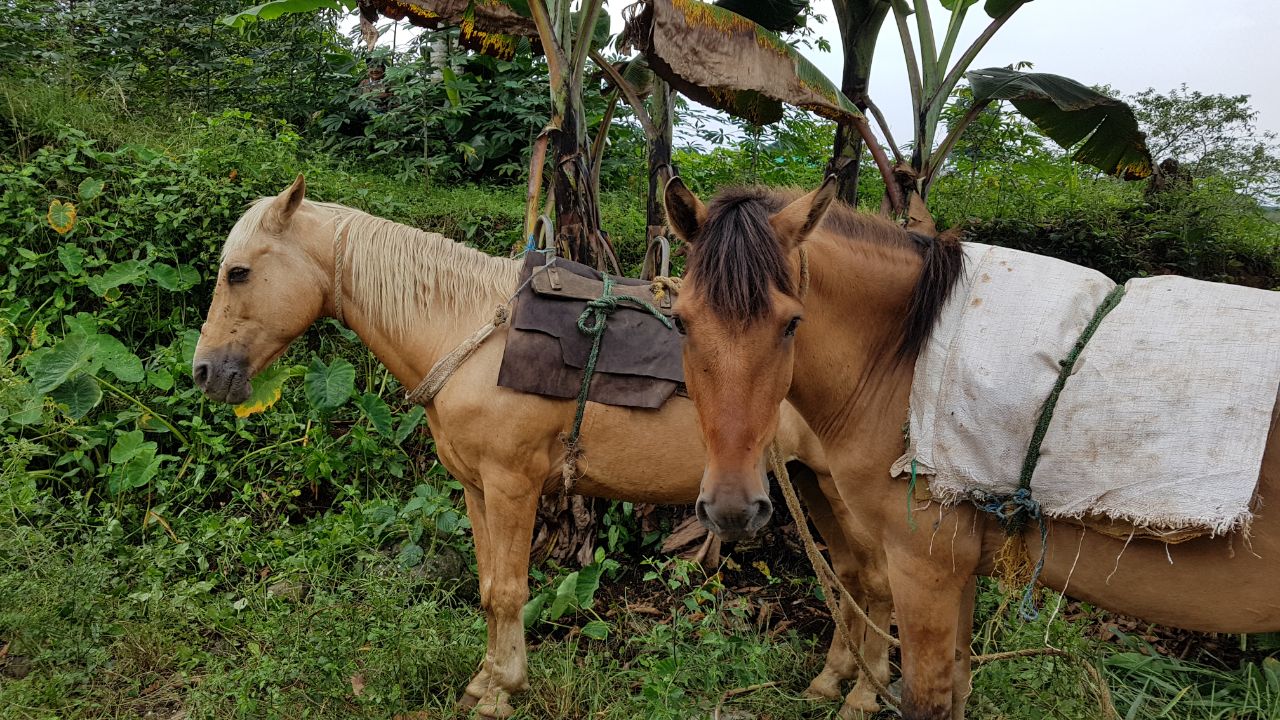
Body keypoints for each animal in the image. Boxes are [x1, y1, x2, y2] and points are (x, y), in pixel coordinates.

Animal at [189, 175, 896, 717]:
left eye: (238, 272)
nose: (204, 372)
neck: (468, 328)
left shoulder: (513, 484)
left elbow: (509, 590)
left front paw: (502, 691)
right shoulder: (476, 486)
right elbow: (486, 586)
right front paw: (485, 679)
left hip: (846, 492)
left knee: (878, 581)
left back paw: (863, 695)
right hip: (808, 483)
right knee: (852, 576)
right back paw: (832, 680)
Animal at [665, 176, 1280, 717]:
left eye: (792, 323)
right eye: (681, 322)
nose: (732, 508)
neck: (903, 360)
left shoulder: (924, 569)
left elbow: (928, 699)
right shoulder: (957, 570)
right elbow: (958, 686)